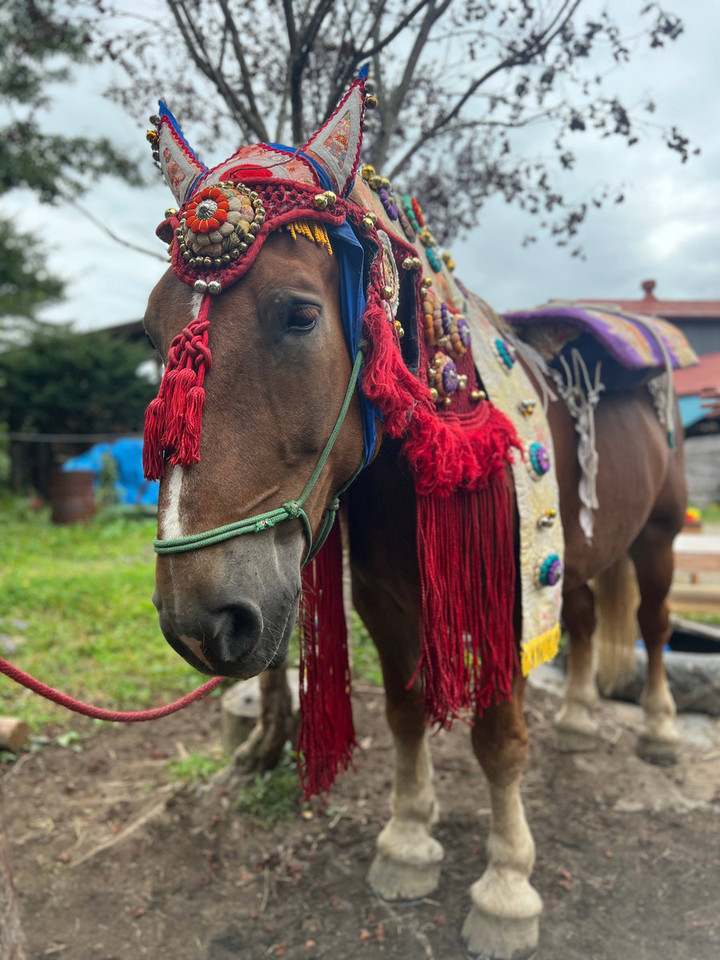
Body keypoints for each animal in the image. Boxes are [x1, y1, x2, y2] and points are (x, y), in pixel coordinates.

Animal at [141, 76, 687, 959]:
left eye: (299, 314)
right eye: (154, 332)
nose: (201, 617)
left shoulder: (506, 595)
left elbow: (497, 738)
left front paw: (506, 887)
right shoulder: (385, 601)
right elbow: (403, 715)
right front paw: (406, 839)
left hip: (660, 536)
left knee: (658, 624)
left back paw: (661, 733)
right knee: (580, 616)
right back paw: (577, 720)